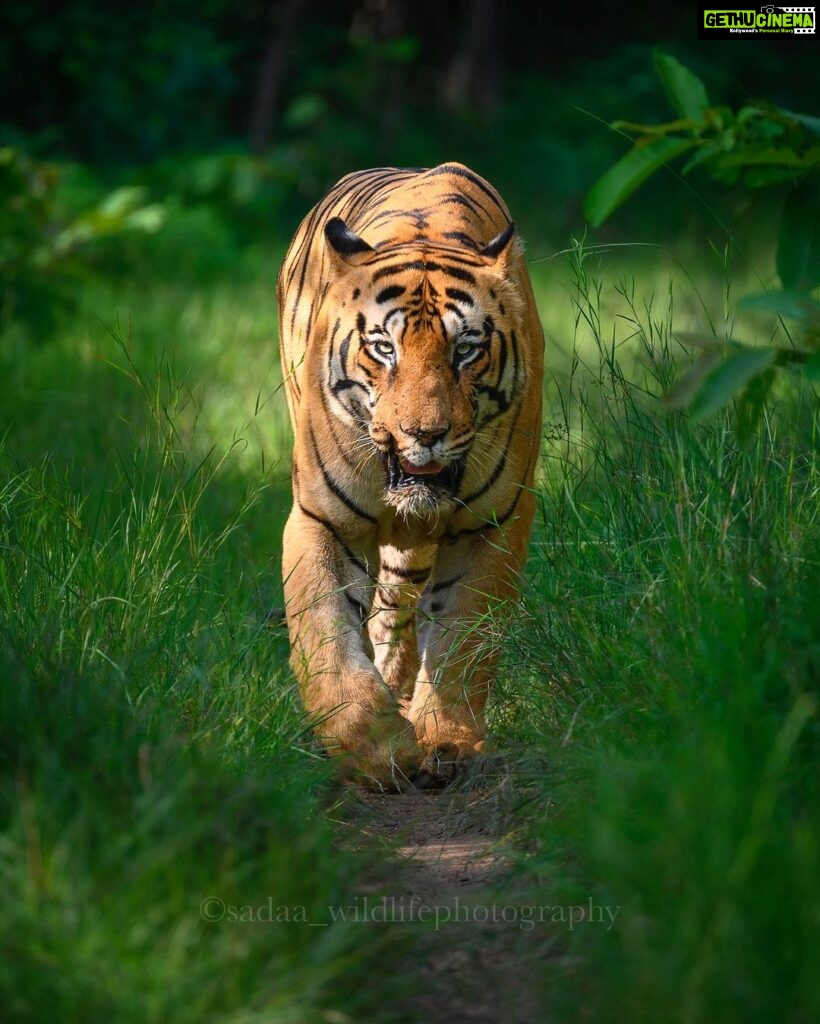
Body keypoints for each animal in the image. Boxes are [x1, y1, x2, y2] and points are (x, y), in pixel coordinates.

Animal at [276, 159, 544, 786]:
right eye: (383, 348)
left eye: (466, 350)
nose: (424, 433)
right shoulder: (321, 519)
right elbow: (324, 633)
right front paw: (376, 750)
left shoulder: (492, 526)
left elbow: (465, 641)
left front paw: (445, 741)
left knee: (395, 606)